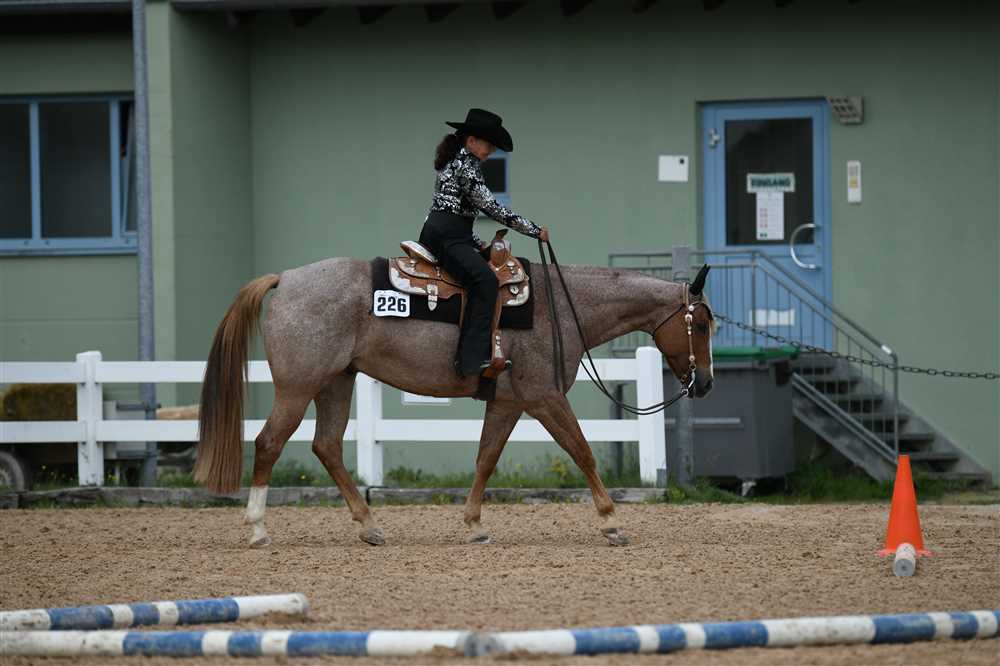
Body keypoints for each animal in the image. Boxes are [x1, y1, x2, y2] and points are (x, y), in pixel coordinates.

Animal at [194, 253, 715, 548]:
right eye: (703, 324)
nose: (706, 383)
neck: (563, 307)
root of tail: (284, 279)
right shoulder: (544, 397)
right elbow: (583, 452)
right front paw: (611, 523)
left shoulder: (508, 402)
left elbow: (486, 458)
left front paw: (473, 525)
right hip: (298, 387)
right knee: (268, 443)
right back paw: (258, 529)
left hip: (337, 382)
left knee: (327, 446)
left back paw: (369, 527)